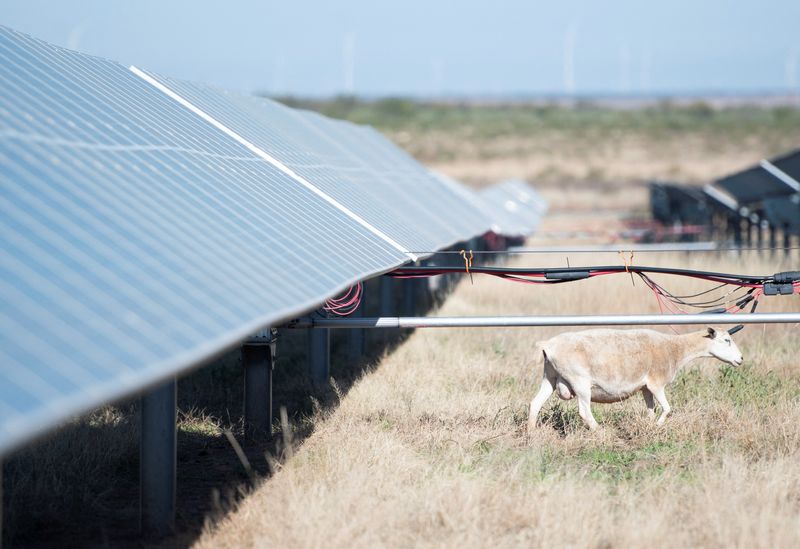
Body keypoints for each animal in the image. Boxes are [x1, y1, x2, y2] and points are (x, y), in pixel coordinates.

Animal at [527, 326, 744, 431]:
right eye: (727, 340)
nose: (741, 359)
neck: (675, 349)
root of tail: (548, 345)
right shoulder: (657, 383)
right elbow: (668, 409)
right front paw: (657, 426)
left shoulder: (646, 387)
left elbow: (650, 410)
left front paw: (649, 425)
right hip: (579, 381)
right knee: (584, 412)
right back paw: (600, 431)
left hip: (550, 376)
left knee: (535, 404)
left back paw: (532, 433)